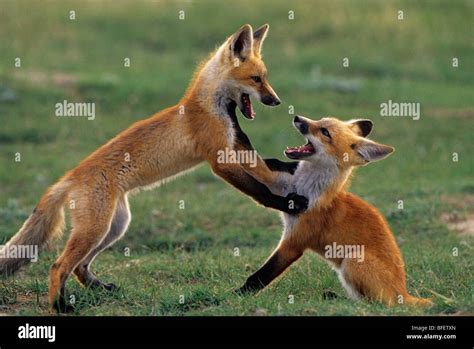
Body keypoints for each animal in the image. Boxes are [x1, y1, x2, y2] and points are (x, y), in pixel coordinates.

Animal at [0, 25, 308, 312]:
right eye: (256, 79)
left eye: (265, 78)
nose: (277, 101)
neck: (212, 107)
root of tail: (68, 177)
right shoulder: (219, 159)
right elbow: (258, 190)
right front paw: (287, 203)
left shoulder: (236, 145)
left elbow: (268, 168)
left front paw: (292, 167)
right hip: (96, 229)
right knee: (58, 265)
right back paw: (60, 306)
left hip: (114, 226)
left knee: (79, 266)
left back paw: (101, 288)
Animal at [239, 116, 432, 304]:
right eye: (320, 120)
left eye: (325, 132)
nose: (297, 117)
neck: (306, 188)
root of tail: (403, 293)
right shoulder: (279, 186)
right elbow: (257, 165)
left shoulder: (294, 242)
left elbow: (258, 277)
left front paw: (236, 296)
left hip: (352, 260)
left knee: (378, 304)